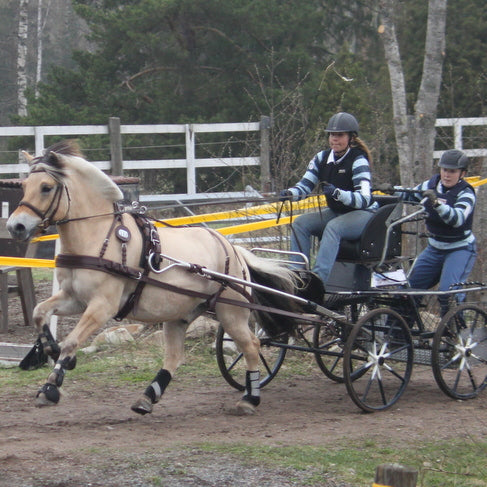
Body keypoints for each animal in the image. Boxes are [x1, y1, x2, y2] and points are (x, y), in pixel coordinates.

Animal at [6, 140, 298, 416]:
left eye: (46, 187)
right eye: (24, 185)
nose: (15, 226)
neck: (97, 237)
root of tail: (232, 249)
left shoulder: (102, 306)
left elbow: (72, 340)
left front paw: (51, 386)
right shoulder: (73, 298)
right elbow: (40, 312)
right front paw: (50, 351)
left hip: (231, 312)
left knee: (251, 345)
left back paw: (250, 398)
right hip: (179, 314)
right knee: (175, 356)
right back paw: (147, 397)